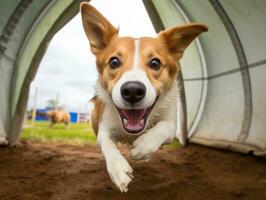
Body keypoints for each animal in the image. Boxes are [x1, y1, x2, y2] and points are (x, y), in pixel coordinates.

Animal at [79, 1, 208, 192]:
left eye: (155, 63)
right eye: (114, 62)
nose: (132, 90)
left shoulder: (171, 122)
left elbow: (164, 128)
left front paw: (143, 147)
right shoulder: (104, 127)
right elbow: (106, 143)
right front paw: (118, 169)